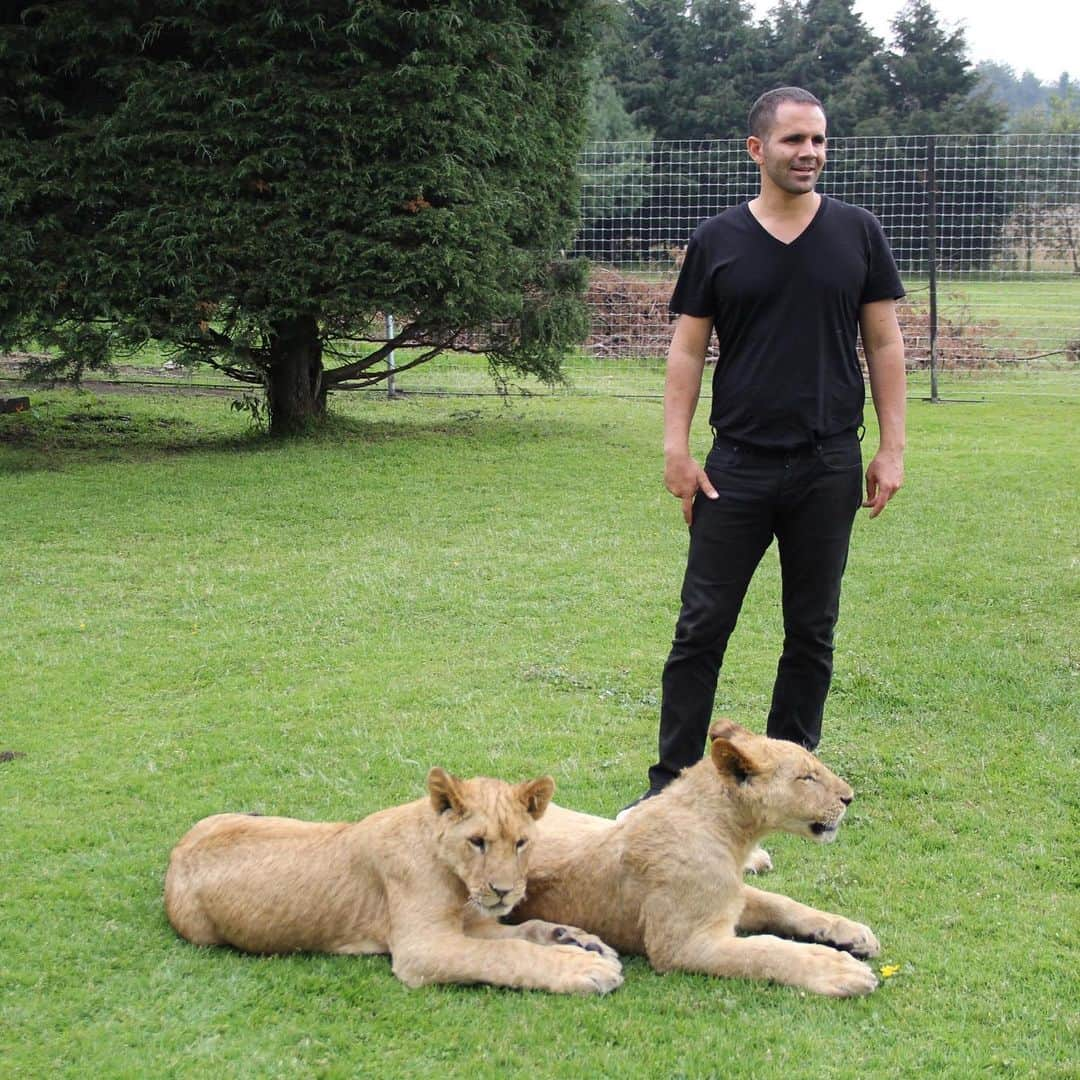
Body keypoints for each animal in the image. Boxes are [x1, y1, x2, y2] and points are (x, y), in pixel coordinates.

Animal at [163, 768, 622, 993]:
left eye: (521, 842)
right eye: (477, 842)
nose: (504, 891)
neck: (457, 881)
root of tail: (177, 851)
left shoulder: (470, 924)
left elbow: (524, 930)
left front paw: (579, 940)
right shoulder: (422, 949)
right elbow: (507, 953)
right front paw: (585, 967)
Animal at [509, 721, 881, 997]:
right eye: (807, 777)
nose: (849, 797)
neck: (732, 834)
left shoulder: (732, 894)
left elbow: (782, 904)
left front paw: (850, 933)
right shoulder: (683, 945)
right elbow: (765, 950)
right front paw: (839, 969)